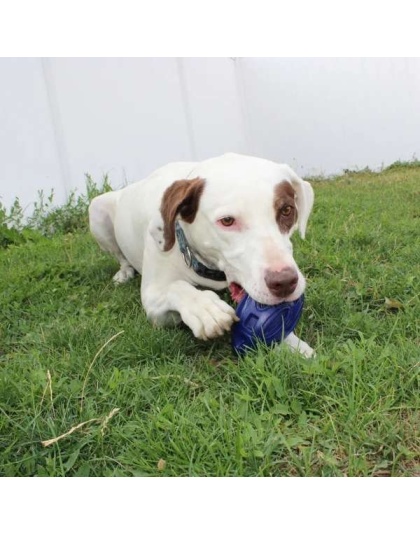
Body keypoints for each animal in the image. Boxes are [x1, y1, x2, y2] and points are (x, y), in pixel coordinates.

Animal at [91, 153, 316, 358]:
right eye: (227, 221)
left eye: (287, 210)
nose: (285, 282)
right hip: (97, 209)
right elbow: (177, 287)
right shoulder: (153, 301)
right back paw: (124, 273)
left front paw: (293, 345)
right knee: (120, 256)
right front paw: (205, 308)